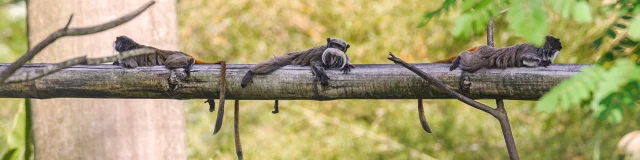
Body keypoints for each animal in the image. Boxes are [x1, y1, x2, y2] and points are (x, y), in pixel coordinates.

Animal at [432, 35, 564, 72]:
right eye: (558, 46)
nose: (561, 48)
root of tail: (484, 47)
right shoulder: (534, 51)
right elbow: (525, 59)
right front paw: (543, 62)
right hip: (479, 56)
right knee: (470, 62)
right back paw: (460, 57)